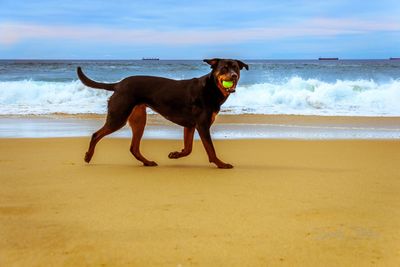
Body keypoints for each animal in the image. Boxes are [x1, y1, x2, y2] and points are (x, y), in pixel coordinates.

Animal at [76, 58, 248, 169]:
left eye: (236, 68)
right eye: (224, 68)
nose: (233, 76)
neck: (212, 87)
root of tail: (118, 85)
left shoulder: (190, 126)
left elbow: (188, 149)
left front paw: (175, 154)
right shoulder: (202, 125)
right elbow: (211, 149)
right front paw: (221, 164)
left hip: (139, 119)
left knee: (134, 147)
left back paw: (147, 162)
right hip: (119, 116)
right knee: (96, 135)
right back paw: (88, 156)